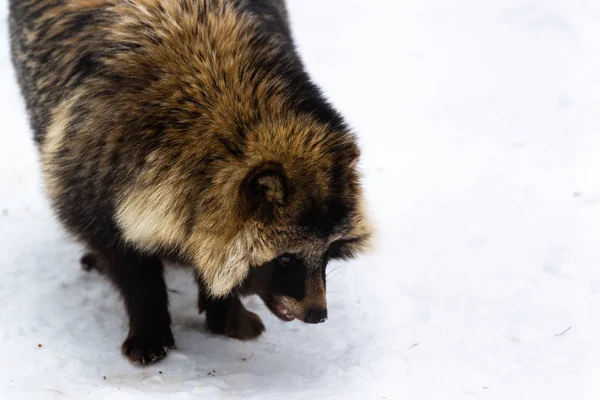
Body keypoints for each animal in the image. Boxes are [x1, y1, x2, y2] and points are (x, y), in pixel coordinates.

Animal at [10, 0, 370, 364]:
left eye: (328, 250)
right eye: (285, 259)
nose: (318, 315)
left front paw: (223, 309)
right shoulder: (90, 169)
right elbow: (127, 261)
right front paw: (150, 324)